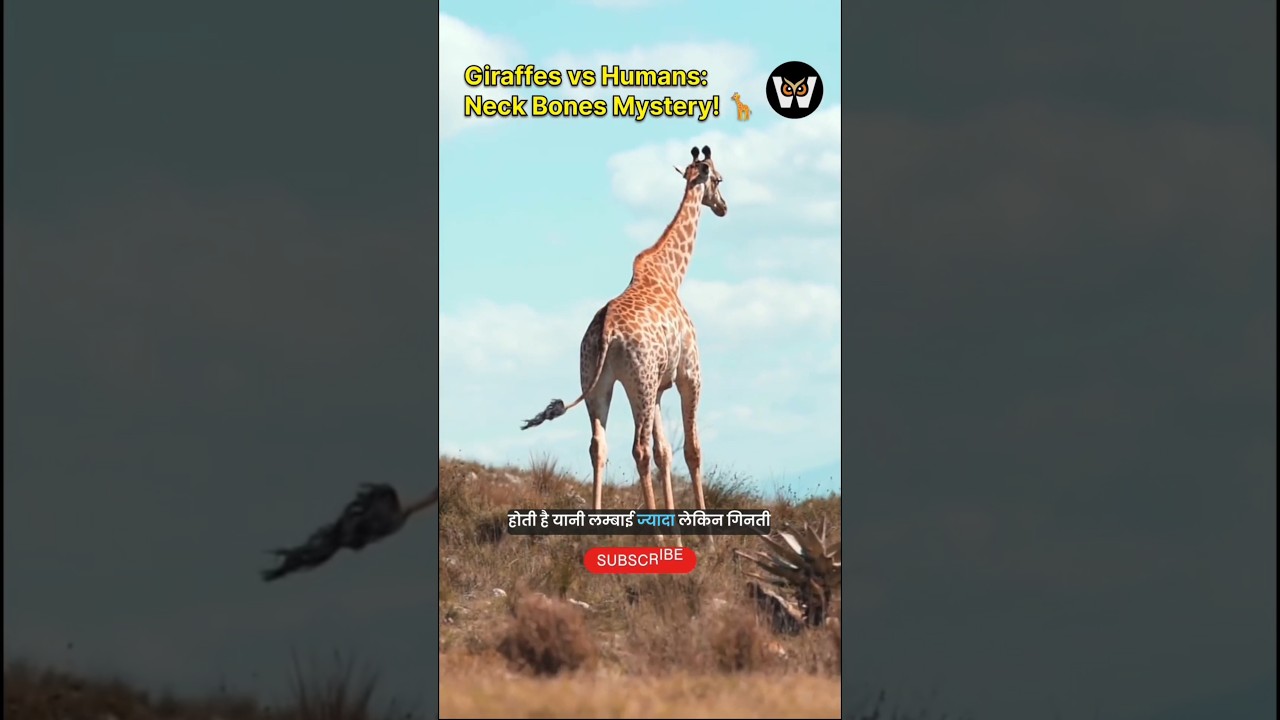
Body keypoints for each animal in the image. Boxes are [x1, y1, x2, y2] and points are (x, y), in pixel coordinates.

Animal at [521, 145, 727, 546]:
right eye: (720, 179)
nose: (724, 206)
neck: (671, 275)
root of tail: (607, 331)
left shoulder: (659, 387)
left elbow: (666, 453)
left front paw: (679, 536)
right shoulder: (688, 375)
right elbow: (691, 449)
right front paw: (705, 539)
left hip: (599, 381)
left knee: (599, 446)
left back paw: (596, 535)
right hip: (638, 382)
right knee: (639, 449)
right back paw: (656, 539)